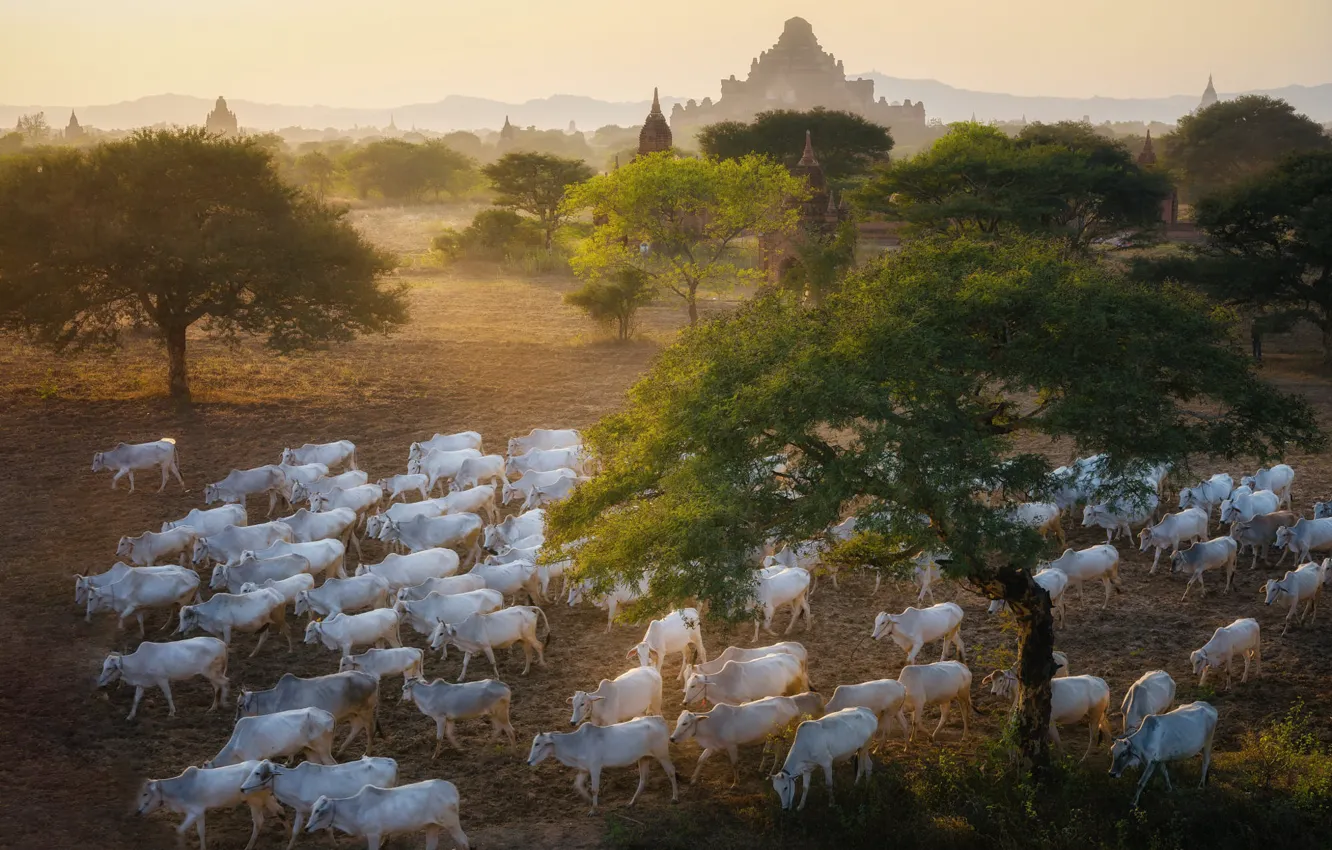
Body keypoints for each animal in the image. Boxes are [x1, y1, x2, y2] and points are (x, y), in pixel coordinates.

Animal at [97, 636, 229, 721]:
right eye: (103, 666)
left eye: (109, 668)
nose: (100, 682)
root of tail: (221, 643)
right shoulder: (141, 684)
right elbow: (136, 699)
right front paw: (130, 716)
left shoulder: (162, 679)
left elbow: (168, 695)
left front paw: (171, 713)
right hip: (213, 674)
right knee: (218, 687)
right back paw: (215, 707)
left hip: (211, 672)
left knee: (225, 682)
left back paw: (222, 704)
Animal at [526, 716, 677, 813]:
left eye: (537, 743)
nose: (528, 762)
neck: (577, 743)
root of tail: (659, 719)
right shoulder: (584, 769)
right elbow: (578, 785)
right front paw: (589, 801)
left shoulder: (595, 768)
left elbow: (594, 789)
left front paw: (593, 809)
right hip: (644, 758)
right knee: (643, 779)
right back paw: (632, 803)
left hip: (662, 754)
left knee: (671, 772)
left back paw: (675, 798)